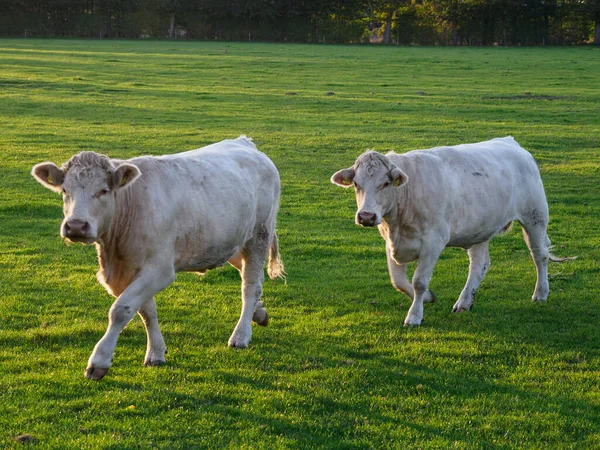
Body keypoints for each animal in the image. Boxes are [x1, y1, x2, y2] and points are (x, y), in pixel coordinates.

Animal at [31, 136, 284, 380]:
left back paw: (241, 335)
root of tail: (245, 142)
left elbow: (120, 309)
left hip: (259, 236)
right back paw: (259, 312)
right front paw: (155, 352)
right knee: (248, 274)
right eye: (65, 190)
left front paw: (99, 361)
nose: (75, 226)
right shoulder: (133, 270)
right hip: (230, 241)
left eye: (103, 190)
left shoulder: (159, 270)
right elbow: (146, 311)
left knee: (250, 286)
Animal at [332, 135, 572, 326]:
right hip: (481, 228)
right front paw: (428, 298)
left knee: (539, 255)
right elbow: (398, 281)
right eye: (356, 184)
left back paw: (540, 293)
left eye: (385, 183)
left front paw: (414, 316)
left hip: (535, 217)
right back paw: (464, 302)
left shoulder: (433, 242)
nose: (366, 216)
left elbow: (419, 281)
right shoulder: (393, 243)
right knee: (479, 265)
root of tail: (511, 142)